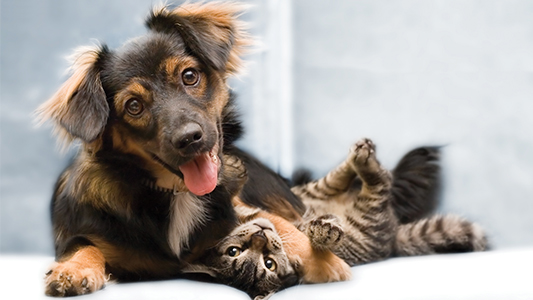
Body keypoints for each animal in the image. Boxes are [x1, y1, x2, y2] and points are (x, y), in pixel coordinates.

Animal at [37, 2, 354, 298]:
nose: (189, 138)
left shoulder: (235, 212)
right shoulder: (85, 232)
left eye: (189, 76)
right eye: (134, 106)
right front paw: (72, 270)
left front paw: (321, 259)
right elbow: (82, 245)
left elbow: (275, 222)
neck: (178, 193)